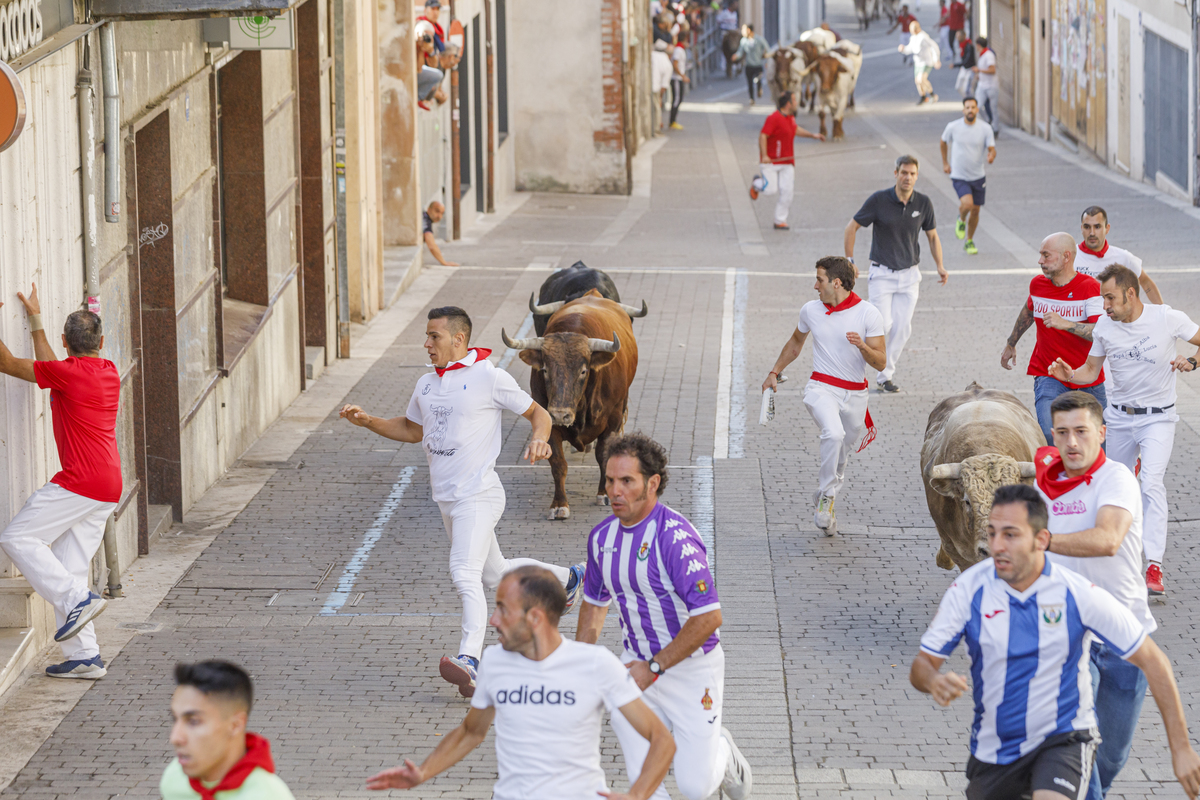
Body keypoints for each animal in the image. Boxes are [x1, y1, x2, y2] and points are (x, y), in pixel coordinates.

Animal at [501, 291, 643, 522]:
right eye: (545, 369)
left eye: (583, 371)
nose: (560, 415)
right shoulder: (547, 420)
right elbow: (558, 464)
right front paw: (559, 505)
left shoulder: (612, 420)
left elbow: (604, 456)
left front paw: (604, 494)